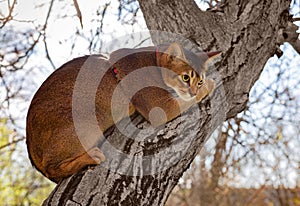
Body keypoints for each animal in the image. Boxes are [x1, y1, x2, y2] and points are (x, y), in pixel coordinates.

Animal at [26, 42, 220, 183]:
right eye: (185, 77)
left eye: (199, 81)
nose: (194, 90)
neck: (154, 61)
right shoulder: (161, 108)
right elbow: (184, 101)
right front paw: (211, 85)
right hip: (89, 121)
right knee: (52, 168)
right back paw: (92, 157)